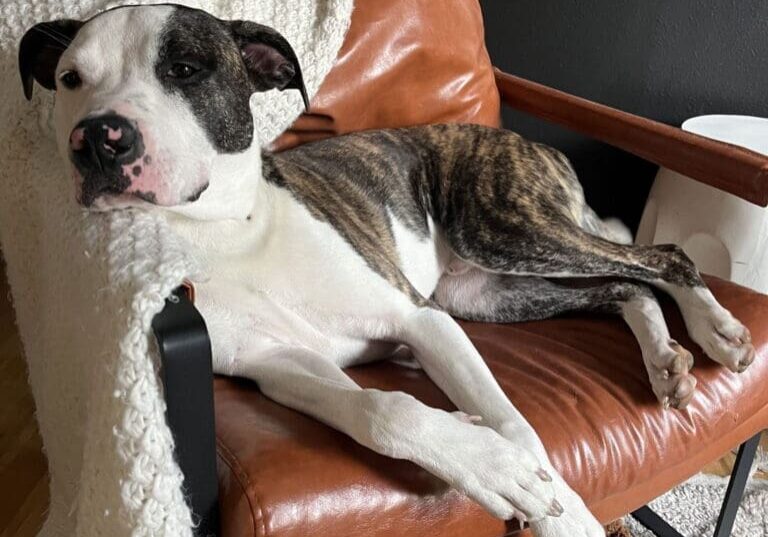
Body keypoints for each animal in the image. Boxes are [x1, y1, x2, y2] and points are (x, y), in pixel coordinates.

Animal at [18, 5, 756, 536]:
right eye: (70, 79)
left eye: (186, 67)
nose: (98, 139)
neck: (226, 232)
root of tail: (523, 139)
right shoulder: (284, 367)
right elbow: (381, 409)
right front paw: (487, 463)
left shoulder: (420, 319)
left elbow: (517, 423)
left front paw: (563, 512)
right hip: (487, 293)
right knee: (624, 287)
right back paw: (665, 358)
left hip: (508, 230)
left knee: (663, 256)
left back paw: (715, 331)